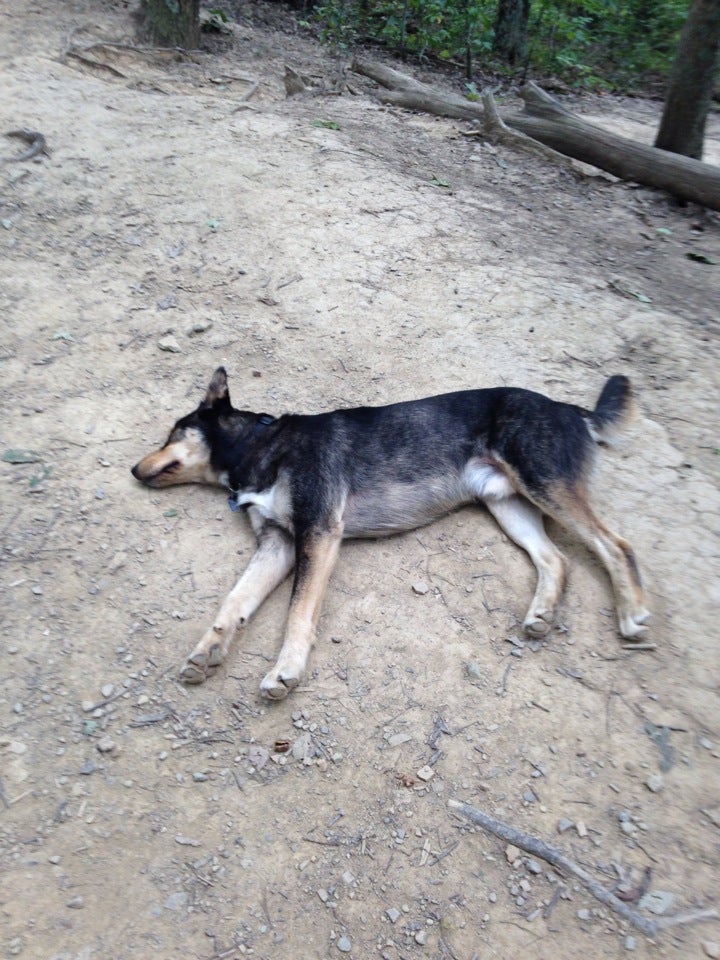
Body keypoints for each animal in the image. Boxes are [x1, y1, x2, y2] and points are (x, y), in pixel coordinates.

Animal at [132, 368, 648, 696]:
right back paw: (541, 613)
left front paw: (285, 669)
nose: (134, 470)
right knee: (555, 558)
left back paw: (633, 615)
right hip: (507, 503)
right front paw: (208, 650)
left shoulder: (318, 531)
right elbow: (235, 600)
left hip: (543, 482)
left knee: (616, 545)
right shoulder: (278, 543)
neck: (260, 443)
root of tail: (568, 406)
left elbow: (297, 612)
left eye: (173, 432)